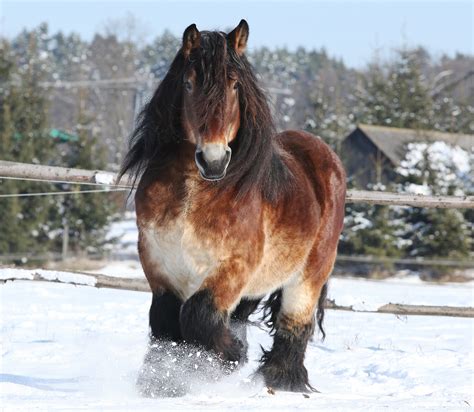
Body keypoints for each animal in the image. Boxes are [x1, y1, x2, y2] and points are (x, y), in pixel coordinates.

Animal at [120, 19, 346, 392]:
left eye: (235, 85)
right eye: (188, 83)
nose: (213, 161)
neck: (194, 194)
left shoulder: (233, 267)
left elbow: (198, 314)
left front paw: (229, 357)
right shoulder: (159, 264)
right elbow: (166, 321)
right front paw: (163, 385)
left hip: (308, 275)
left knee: (294, 325)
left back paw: (281, 381)